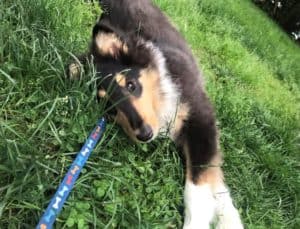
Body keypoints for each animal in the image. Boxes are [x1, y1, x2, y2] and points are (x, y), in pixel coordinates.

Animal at [68, 0, 244, 227]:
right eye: (110, 108)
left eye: (131, 85)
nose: (144, 134)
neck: (162, 99)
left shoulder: (201, 118)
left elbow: (198, 185)